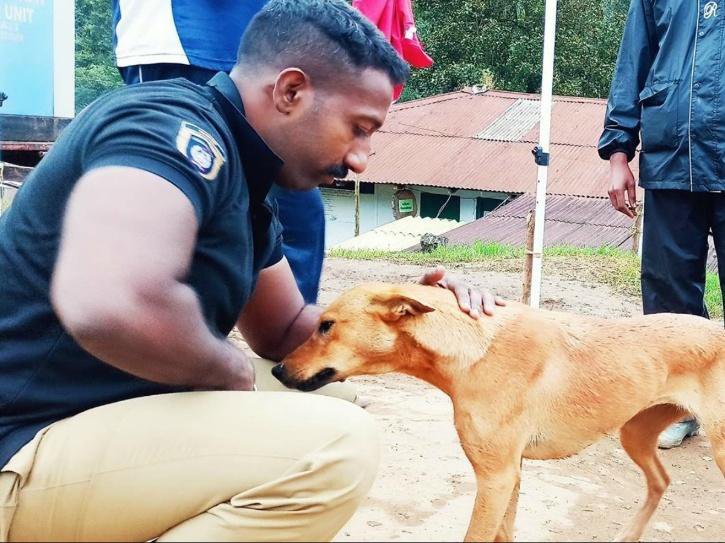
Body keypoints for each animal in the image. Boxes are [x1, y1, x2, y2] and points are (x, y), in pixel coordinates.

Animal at [272, 282, 724, 540]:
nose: (276, 370)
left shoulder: (496, 478)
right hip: (635, 434)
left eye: (326, 325)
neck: (472, 349)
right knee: (661, 480)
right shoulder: (511, 475)